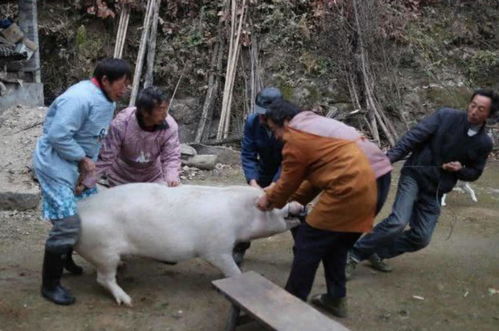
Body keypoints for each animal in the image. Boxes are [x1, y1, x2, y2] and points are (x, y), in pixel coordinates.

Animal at [74, 184, 300, 306]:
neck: (240, 217)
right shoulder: (217, 248)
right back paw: (127, 301)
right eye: (277, 206)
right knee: (103, 279)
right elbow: (232, 270)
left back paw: (124, 266)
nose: (299, 205)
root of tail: (78, 209)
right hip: (103, 249)